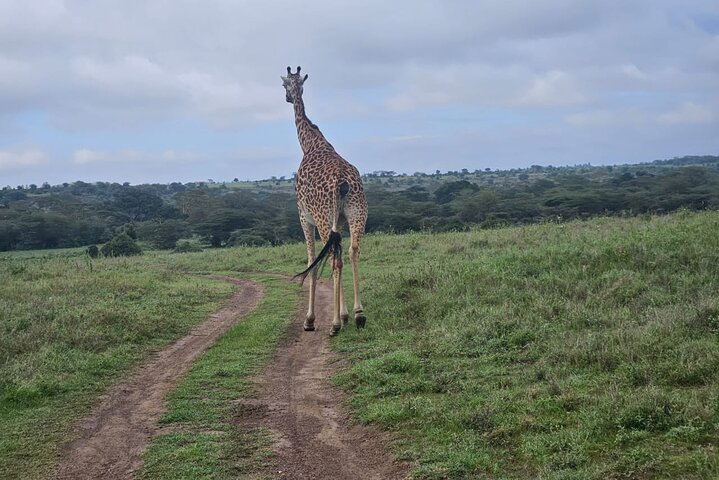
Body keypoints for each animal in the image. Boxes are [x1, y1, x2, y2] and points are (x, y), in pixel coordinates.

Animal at [282, 66, 368, 336]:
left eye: (284, 84)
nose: (288, 97)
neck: (310, 143)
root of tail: (341, 181)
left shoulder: (303, 217)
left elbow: (311, 261)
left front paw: (310, 320)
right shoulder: (339, 221)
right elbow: (341, 254)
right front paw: (346, 313)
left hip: (322, 218)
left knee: (332, 257)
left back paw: (334, 325)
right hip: (357, 213)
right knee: (352, 251)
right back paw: (359, 315)